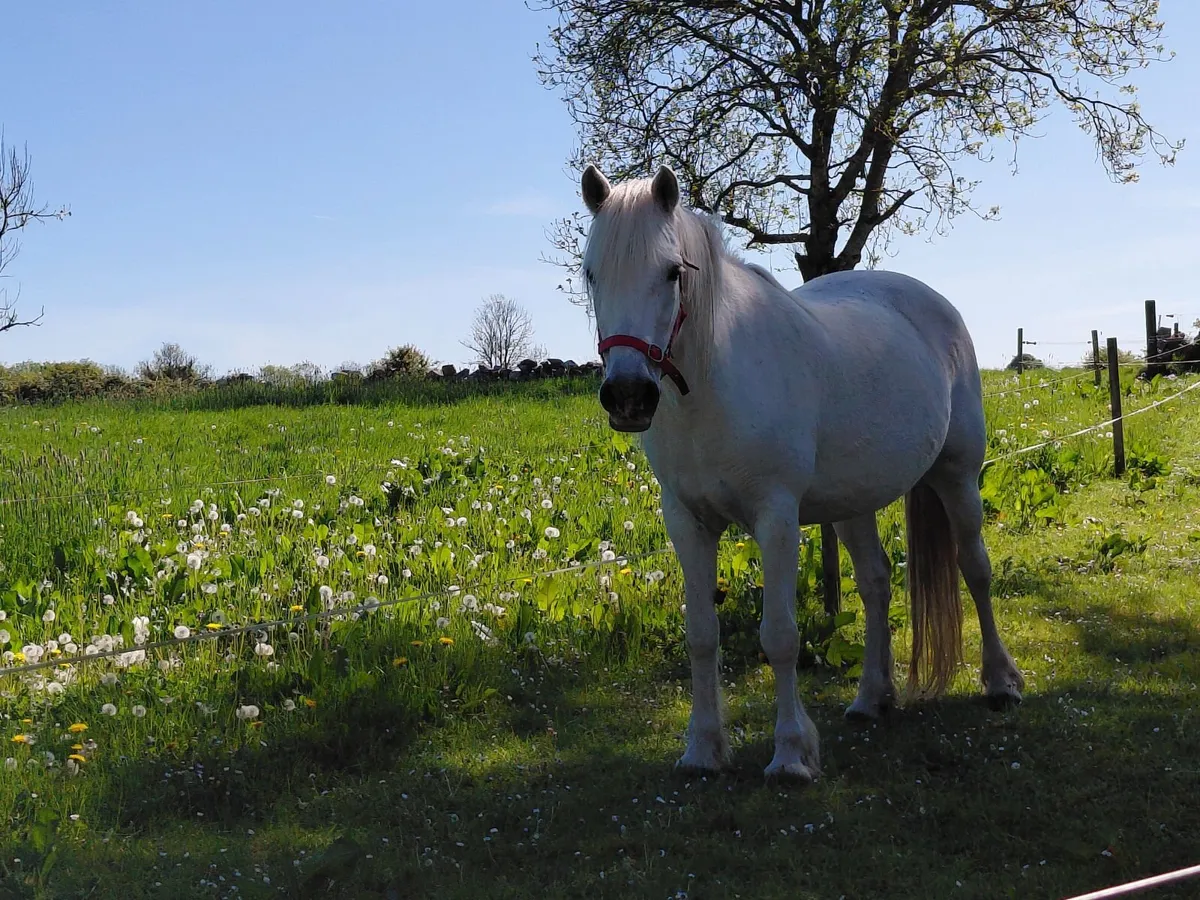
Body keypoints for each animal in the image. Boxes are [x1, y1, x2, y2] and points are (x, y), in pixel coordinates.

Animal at [579, 163, 1025, 782]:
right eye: (591, 273)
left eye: (671, 272)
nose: (627, 396)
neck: (713, 386)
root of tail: (935, 304)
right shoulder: (687, 523)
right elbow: (701, 636)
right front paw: (702, 749)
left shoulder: (777, 519)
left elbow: (781, 637)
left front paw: (791, 752)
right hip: (856, 503)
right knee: (876, 584)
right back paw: (871, 697)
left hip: (958, 477)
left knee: (975, 570)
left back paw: (1001, 681)